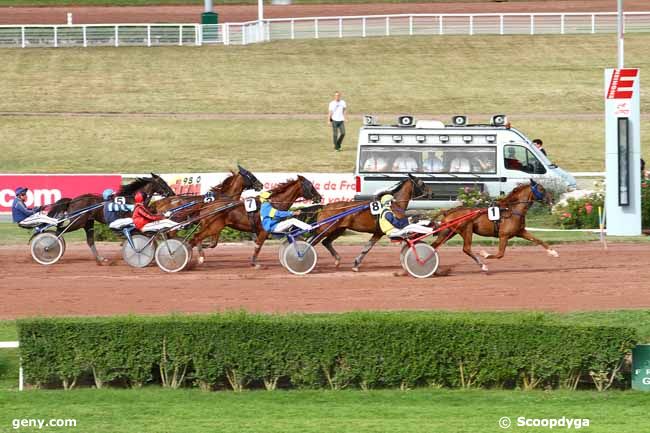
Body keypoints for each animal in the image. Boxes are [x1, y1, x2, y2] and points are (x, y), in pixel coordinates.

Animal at [190, 176, 322, 266]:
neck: (274, 202)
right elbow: (258, 246)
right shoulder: (264, 230)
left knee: (199, 239)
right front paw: (254, 263)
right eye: (310, 186)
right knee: (196, 237)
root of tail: (207, 205)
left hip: (214, 227)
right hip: (213, 227)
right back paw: (198, 258)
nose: (319, 197)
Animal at [428, 177, 556, 272]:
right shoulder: (503, 235)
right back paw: (483, 265)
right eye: (541, 189)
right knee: (466, 248)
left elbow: (538, 240)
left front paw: (553, 252)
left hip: (448, 232)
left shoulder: (520, 232)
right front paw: (484, 254)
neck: (512, 209)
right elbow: (500, 254)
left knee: (434, 246)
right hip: (467, 230)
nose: (552, 199)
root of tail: (448, 211)